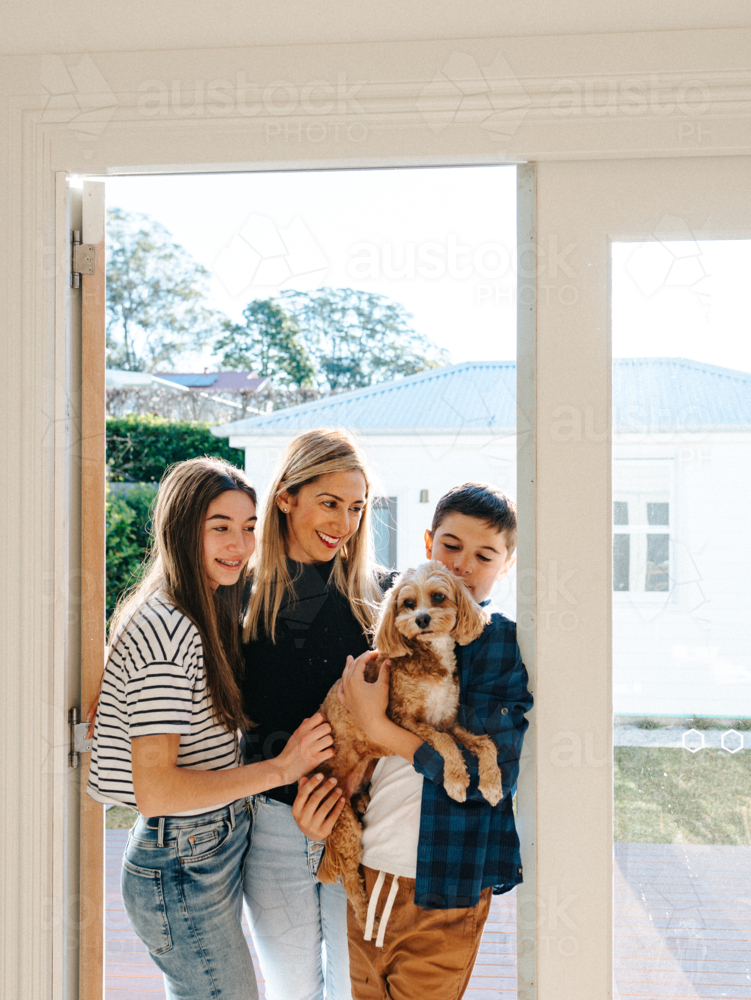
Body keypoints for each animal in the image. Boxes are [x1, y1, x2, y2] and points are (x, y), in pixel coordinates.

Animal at [314, 564, 502, 928]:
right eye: (408, 603)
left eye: (439, 597)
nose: (422, 619)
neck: (431, 656)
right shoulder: (406, 720)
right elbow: (445, 743)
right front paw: (457, 780)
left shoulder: (449, 720)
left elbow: (485, 743)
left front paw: (490, 783)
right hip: (345, 828)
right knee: (349, 879)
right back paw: (365, 916)